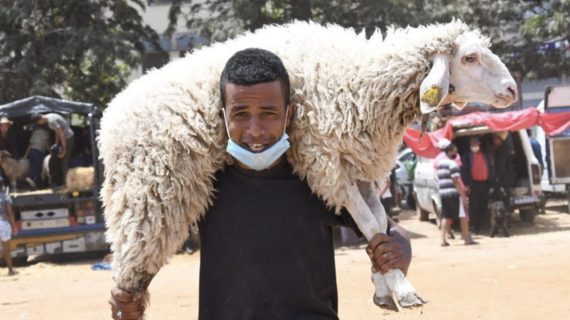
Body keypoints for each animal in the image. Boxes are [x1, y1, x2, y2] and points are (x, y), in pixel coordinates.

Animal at [98, 20, 516, 316]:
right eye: (470, 58)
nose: (512, 90)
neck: (362, 81)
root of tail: (110, 118)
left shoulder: (358, 165)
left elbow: (379, 224)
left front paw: (383, 285)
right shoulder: (327, 163)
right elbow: (369, 224)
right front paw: (403, 290)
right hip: (148, 195)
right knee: (127, 275)